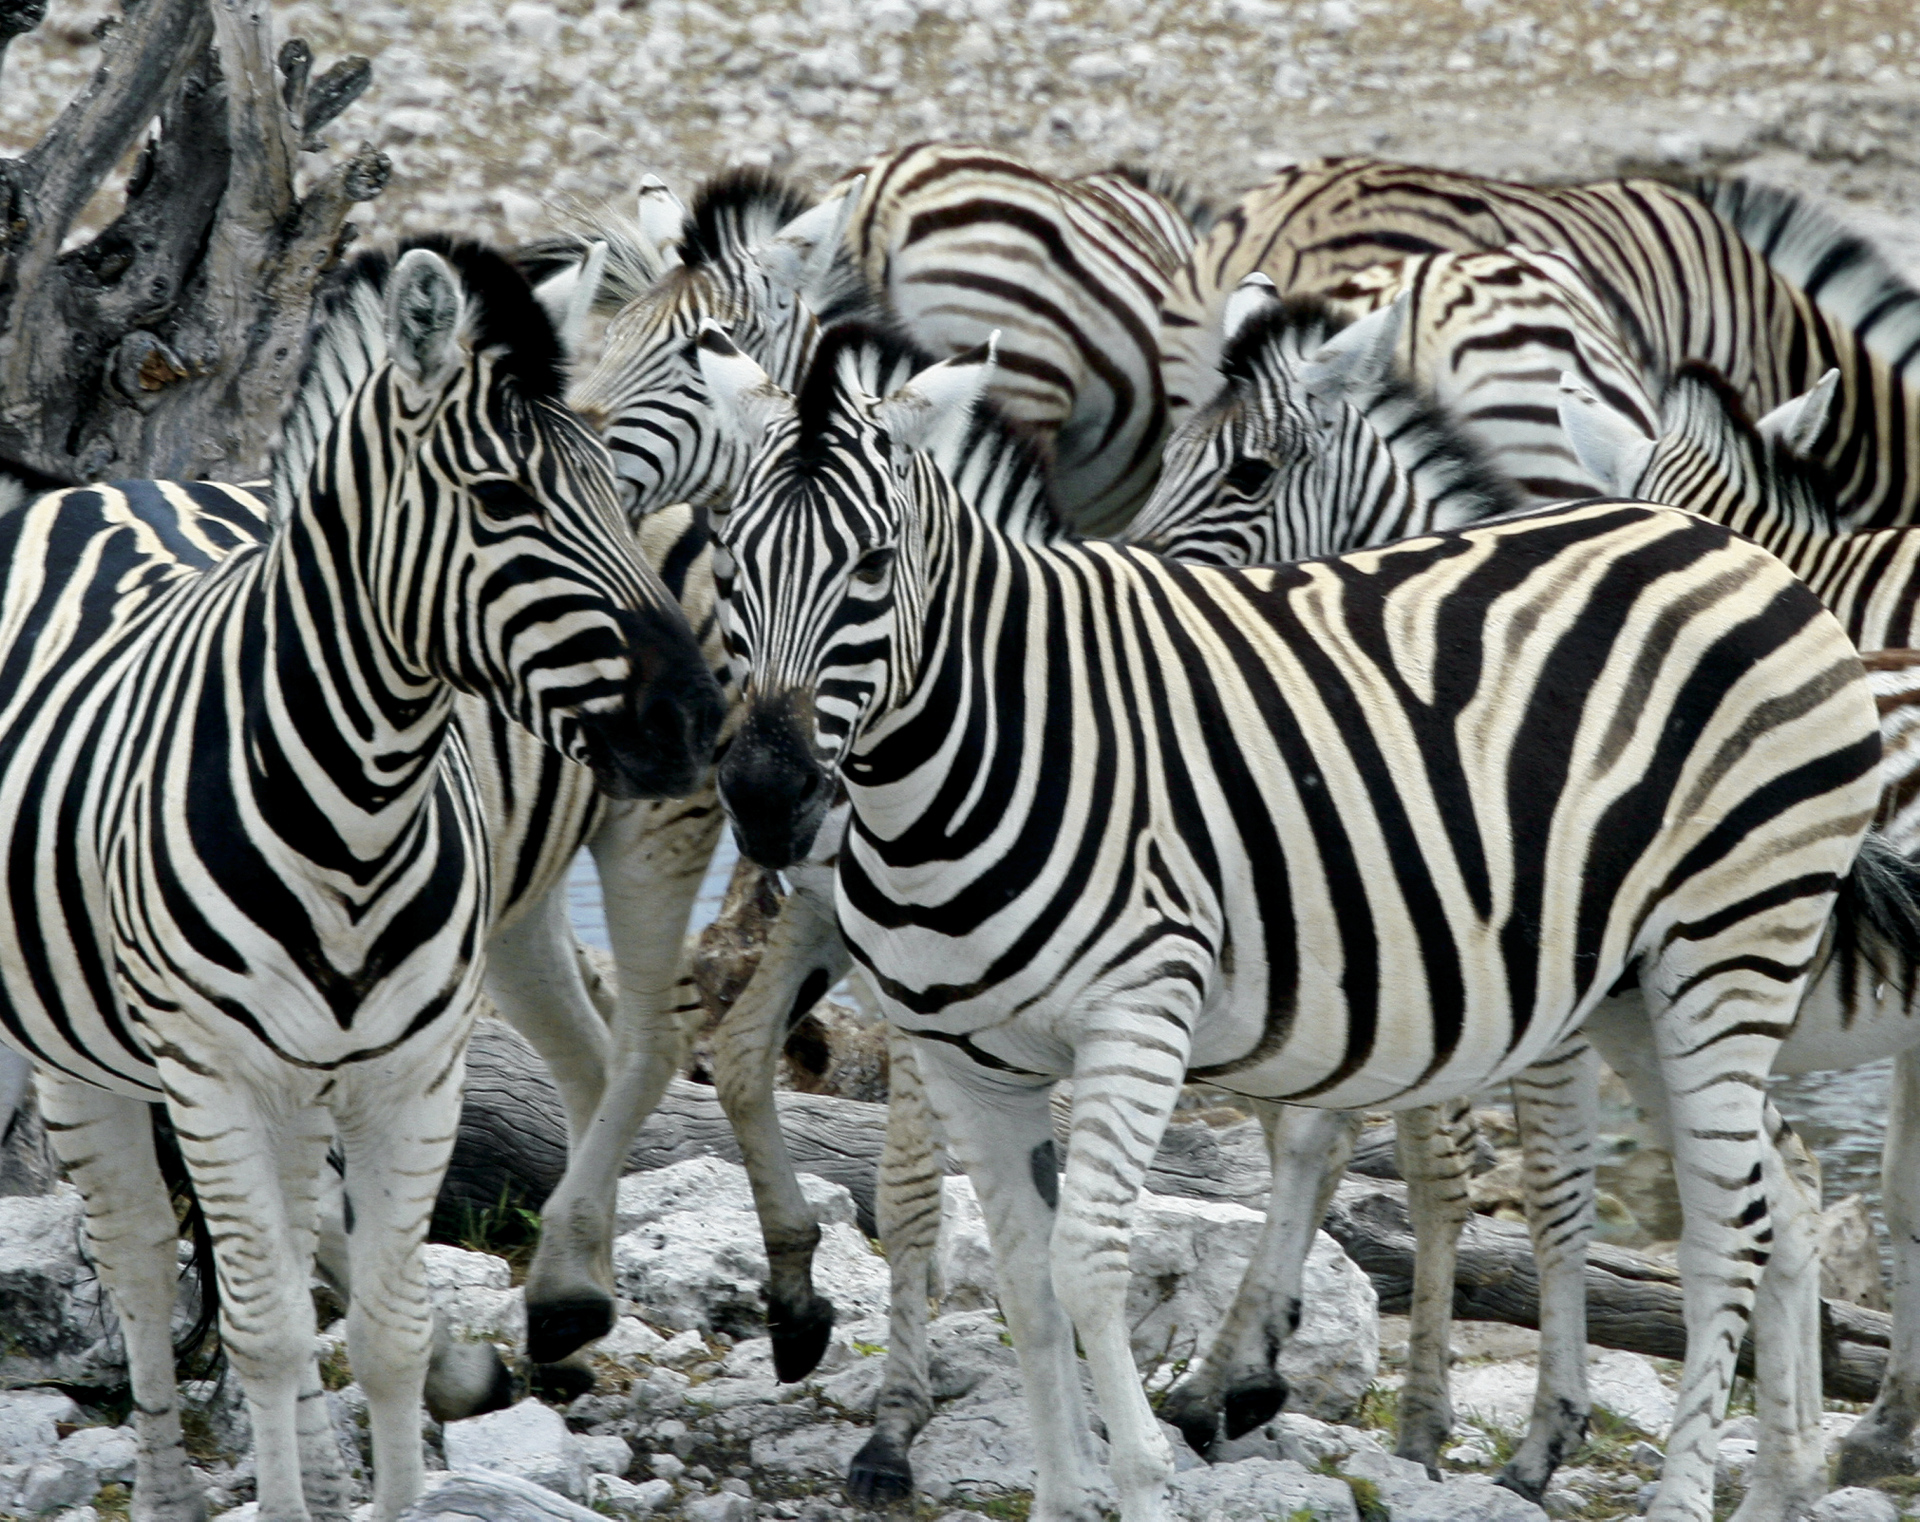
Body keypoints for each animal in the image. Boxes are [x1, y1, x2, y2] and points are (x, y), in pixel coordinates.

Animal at [0, 239, 721, 1522]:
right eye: (501, 501)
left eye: (609, 486)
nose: (694, 719)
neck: (356, 811)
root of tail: (102, 486)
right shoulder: (214, 1078)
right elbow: (267, 1330)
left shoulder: (411, 1073)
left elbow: (386, 1330)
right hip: (85, 1053)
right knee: (139, 1261)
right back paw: (173, 1484)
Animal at [694, 317, 1910, 1522]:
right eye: (727, 556)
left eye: (874, 564)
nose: (767, 796)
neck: (984, 747)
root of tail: (1731, 547)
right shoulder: (966, 1057)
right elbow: (1026, 1282)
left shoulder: (1141, 1011)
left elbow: (1088, 1263)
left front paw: (1146, 1472)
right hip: (1636, 987)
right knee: (1783, 1198)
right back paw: (1780, 1482)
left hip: (1732, 943)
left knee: (1726, 1231)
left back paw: (1690, 1492)